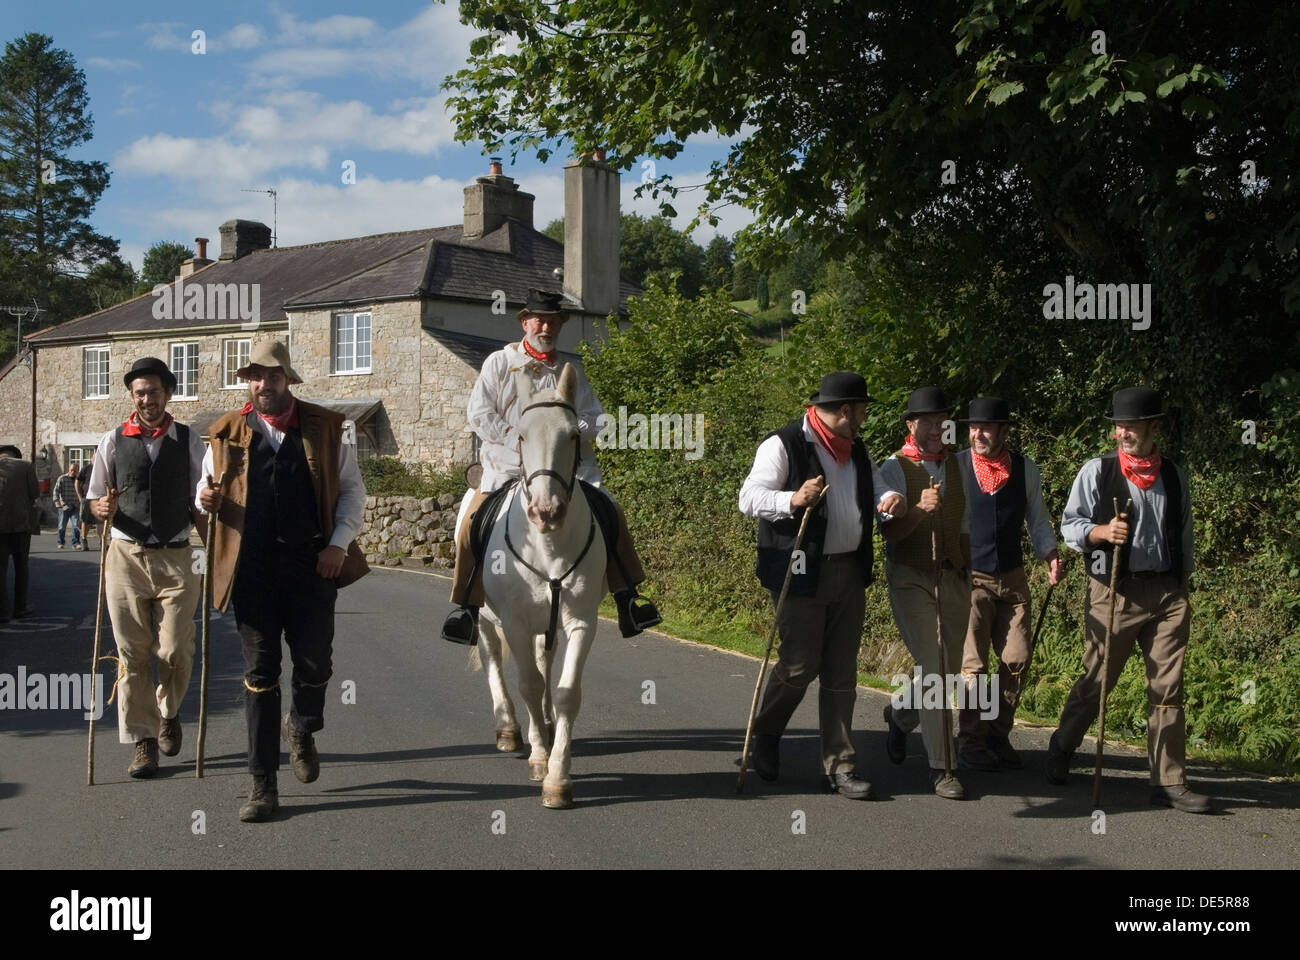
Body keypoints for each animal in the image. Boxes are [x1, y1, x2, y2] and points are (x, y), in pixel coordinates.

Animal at [475, 361, 605, 806]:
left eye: (573, 436)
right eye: (521, 435)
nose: (546, 511)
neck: (548, 544)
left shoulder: (581, 621)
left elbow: (566, 693)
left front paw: (558, 776)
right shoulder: (513, 622)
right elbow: (528, 684)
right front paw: (538, 758)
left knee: (544, 661)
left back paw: (544, 727)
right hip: (484, 618)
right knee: (494, 662)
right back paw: (510, 729)